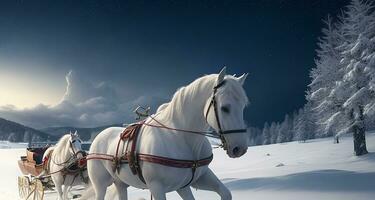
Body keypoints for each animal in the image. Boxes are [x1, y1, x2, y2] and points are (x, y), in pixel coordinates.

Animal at [87, 67, 250, 200]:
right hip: (100, 185)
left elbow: (226, 193)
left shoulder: (193, 181)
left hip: (120, 183)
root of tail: (98, 138)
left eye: (243, 106)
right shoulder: (157, 187)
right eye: (225, 108)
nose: (240, 149)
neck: (181, 138)